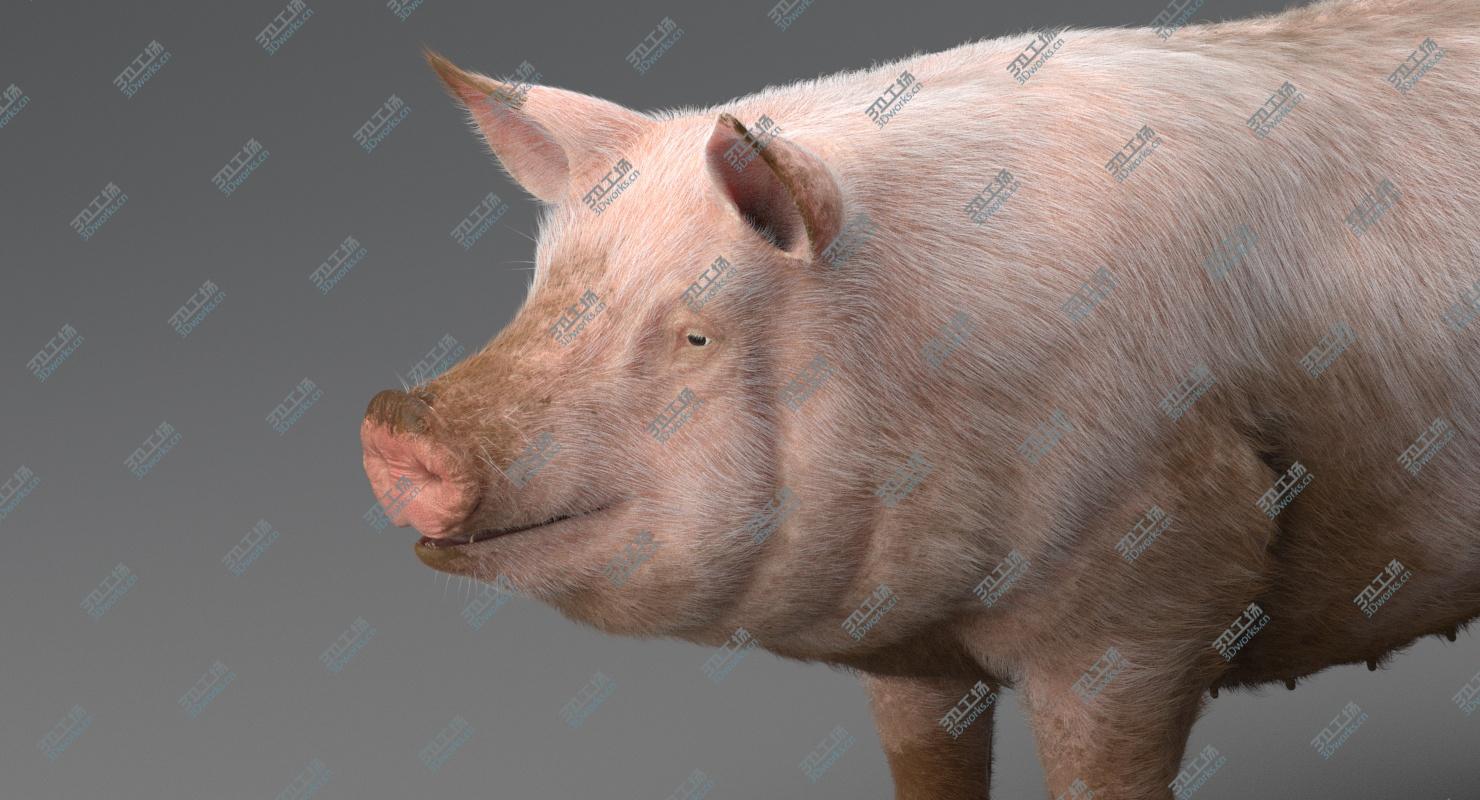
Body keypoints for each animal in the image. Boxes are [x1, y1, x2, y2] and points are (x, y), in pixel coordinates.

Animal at [360, 0, 1480, 796]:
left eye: (694, 335)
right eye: (539, 289)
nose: (393, 426)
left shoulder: (1156, 584)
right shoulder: (901, 648)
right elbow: (927, 764)